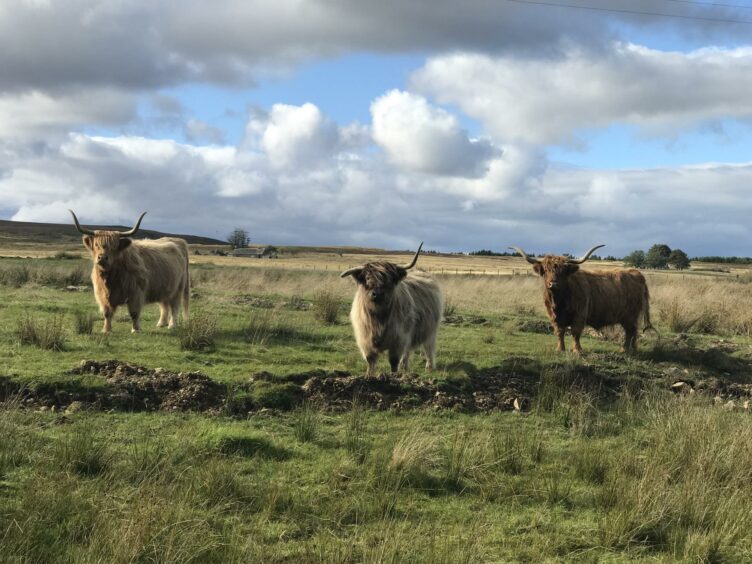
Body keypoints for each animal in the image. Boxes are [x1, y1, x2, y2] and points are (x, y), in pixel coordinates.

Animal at [340, 245, 440, 376]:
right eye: (367, 278)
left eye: (388, 280)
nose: (377, 294)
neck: (379, 318)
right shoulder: (365, 339)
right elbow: (370, 360)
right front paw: (369, 375)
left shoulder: (398, 339)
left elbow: (393, 361)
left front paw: (393, 376)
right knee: (408, 351)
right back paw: (404, 367)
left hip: (430, 330)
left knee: (428, 347)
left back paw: (429, 367)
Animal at [512, 243, 652, 352]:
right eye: (545, 270)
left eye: (563, 272)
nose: (553, 284)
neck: (559, 301)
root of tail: (637, 273)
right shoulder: (553, 316)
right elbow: (559, 331)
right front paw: (560, 349)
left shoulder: (579, 314)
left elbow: (575, 332)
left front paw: (577, 350)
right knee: (632, 332)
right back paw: (631, 349)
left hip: (630, 316)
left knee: (631, 331)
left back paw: (624, 349)